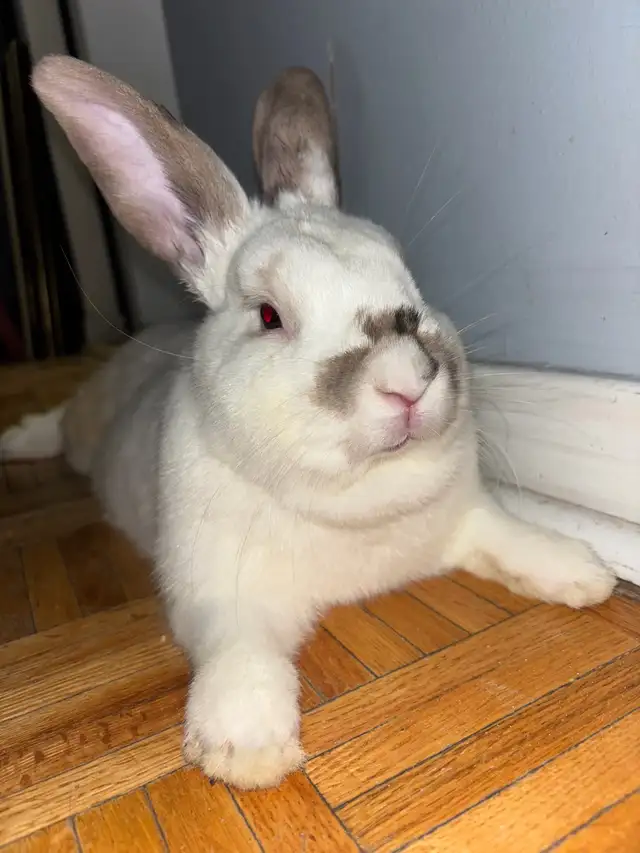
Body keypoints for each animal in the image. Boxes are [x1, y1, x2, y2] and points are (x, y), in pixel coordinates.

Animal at [1, 56, 616, 790]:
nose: (409, 378)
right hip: (84, 427)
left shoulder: (470, 516)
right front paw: (246, 747)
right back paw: (15, 439)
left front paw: (584, 572)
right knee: (59, 423)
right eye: (269, 316)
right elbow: (241, 654)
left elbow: (512, 536)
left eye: (412, 282)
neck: (359, 497)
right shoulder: (221, 596)